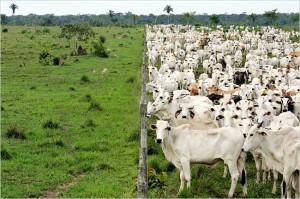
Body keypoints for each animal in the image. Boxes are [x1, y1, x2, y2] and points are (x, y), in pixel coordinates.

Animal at [145, 24, 300, 197]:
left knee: (237, 176)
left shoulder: (185, 159)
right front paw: (180, 191)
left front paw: (187, 191)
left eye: (163, 98)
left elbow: (187, 177)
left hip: (232, 159)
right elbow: (182, 177)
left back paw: (231, 193)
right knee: (243, 175)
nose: (158, 140)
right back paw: (244, 193)